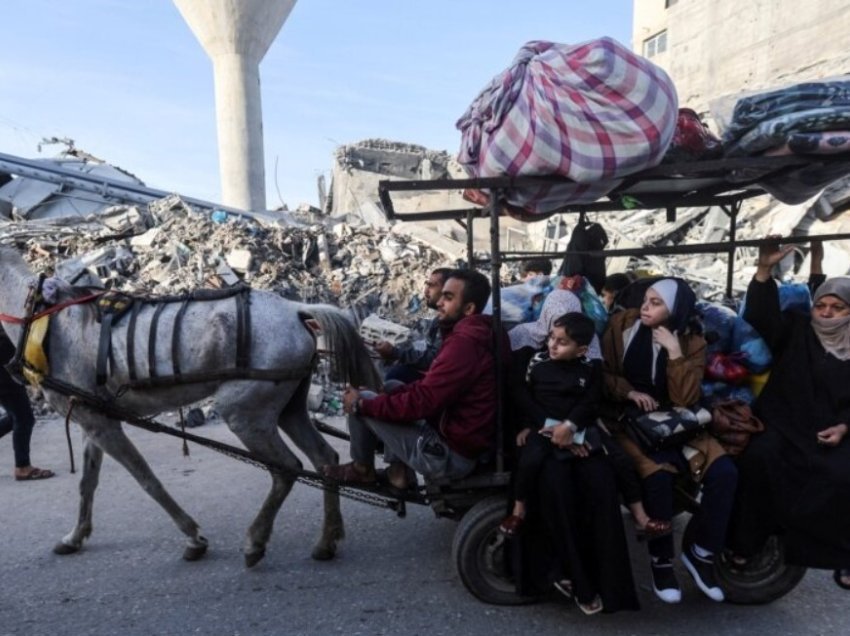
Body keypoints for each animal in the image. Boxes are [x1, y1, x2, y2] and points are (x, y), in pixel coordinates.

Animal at [0, 247, 378, 568]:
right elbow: (87, 483)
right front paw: (75, 536)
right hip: (289, 408)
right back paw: (327, 540)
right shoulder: (92, 418)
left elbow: (147, 479)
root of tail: (296, 310)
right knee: (325, 458)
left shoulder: (102, 424)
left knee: (286, 468)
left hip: (245, 413)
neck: (40, 317)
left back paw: (256, 541)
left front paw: (194, 537)